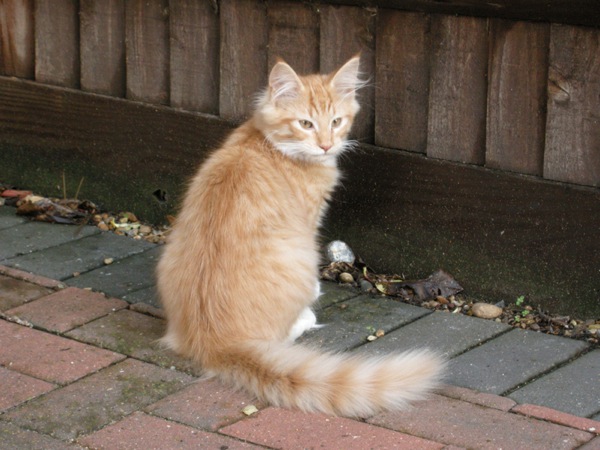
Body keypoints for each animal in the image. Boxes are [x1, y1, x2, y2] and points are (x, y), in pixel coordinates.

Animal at [156, 56, 446, 418]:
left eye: (336, 121)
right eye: (306, 124)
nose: (326, 145)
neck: (269, 143)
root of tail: (211, 341)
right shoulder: (309, 223)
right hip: (302, 255)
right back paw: (306, 317)